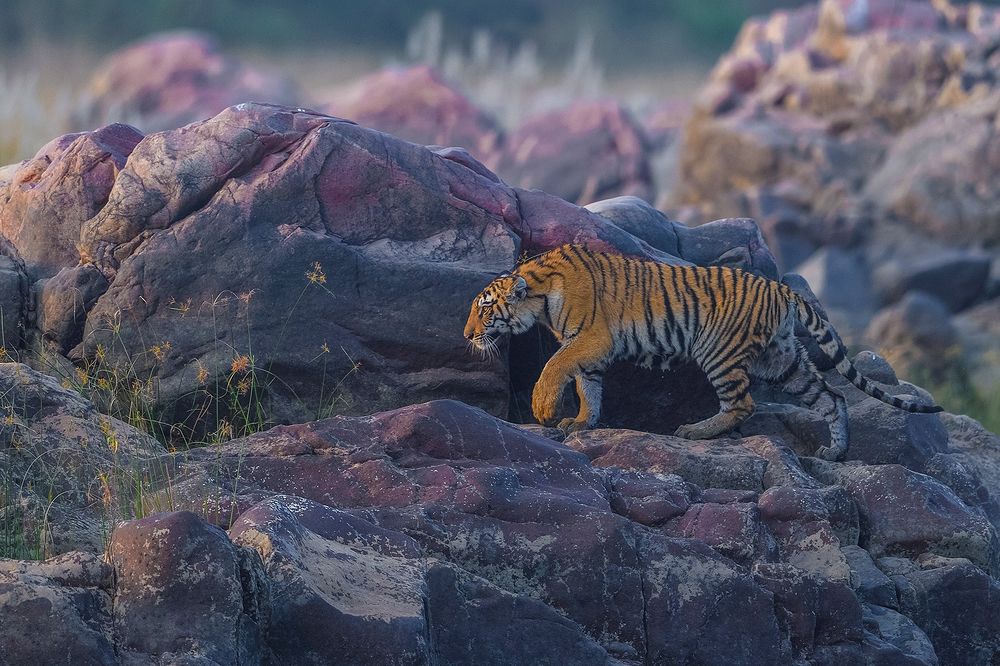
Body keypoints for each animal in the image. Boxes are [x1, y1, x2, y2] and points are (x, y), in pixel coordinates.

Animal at [463, 243, 942, 461]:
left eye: (483, 308)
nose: (467, 334)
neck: (540, 296)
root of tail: (781, 288)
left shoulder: (591, 338)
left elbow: (556, 365)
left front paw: (545, 409)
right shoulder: (589, 349)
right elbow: (588, 387)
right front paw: (582, 421)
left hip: (719, 351)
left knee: (743, 404)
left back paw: (694, 431)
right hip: (782, 360)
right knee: (833, 395)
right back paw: (835, 452)